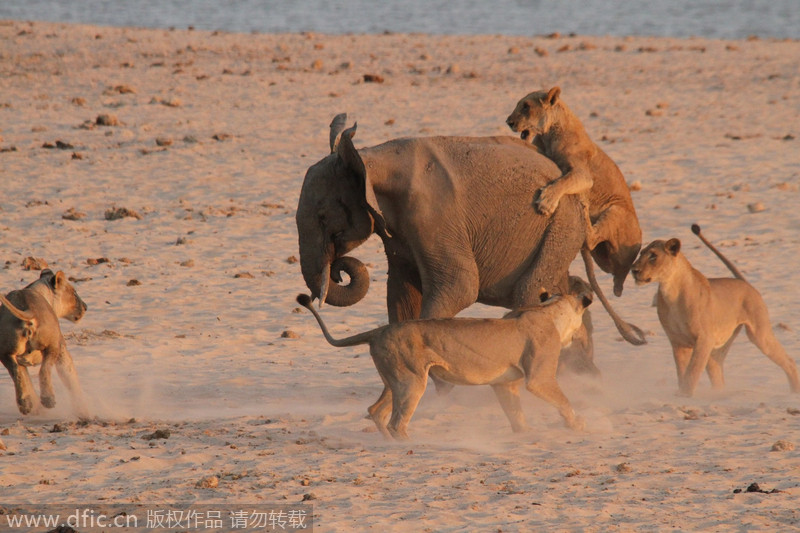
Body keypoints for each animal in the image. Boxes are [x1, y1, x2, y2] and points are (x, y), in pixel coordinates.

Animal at [294, 114, 644, 350]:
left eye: (323, 217)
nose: (337, 271)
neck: (372, 156)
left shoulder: (434, 213)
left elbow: (459, 286)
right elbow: (402, 294)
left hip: (561, 221)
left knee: (531, 291)